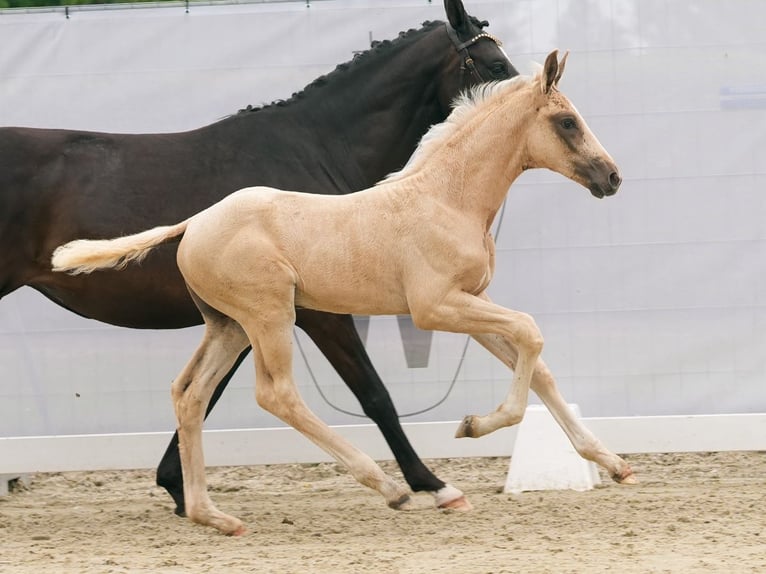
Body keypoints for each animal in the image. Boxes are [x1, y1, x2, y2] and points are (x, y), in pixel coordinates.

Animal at [3, 0, 520, 512]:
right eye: (495, 65)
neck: (316, 152)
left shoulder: (245, 318)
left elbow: (206, 393)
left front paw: (177, 486)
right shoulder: (318, 315)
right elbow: (374, 395)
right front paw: (429, 484)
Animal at [54, 51, 636, 536]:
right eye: (566, 121)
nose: (612, 177)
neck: (446, 199)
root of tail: (194, 223)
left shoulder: (473, 302)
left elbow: (537, 366)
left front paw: (614, 464)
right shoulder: (435, 307)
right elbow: (530, 334)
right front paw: (473, 427)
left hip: (229, 326)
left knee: (189, 393)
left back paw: (213, 515)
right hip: (270, 316)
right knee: (277, 394)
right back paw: (389, 487)